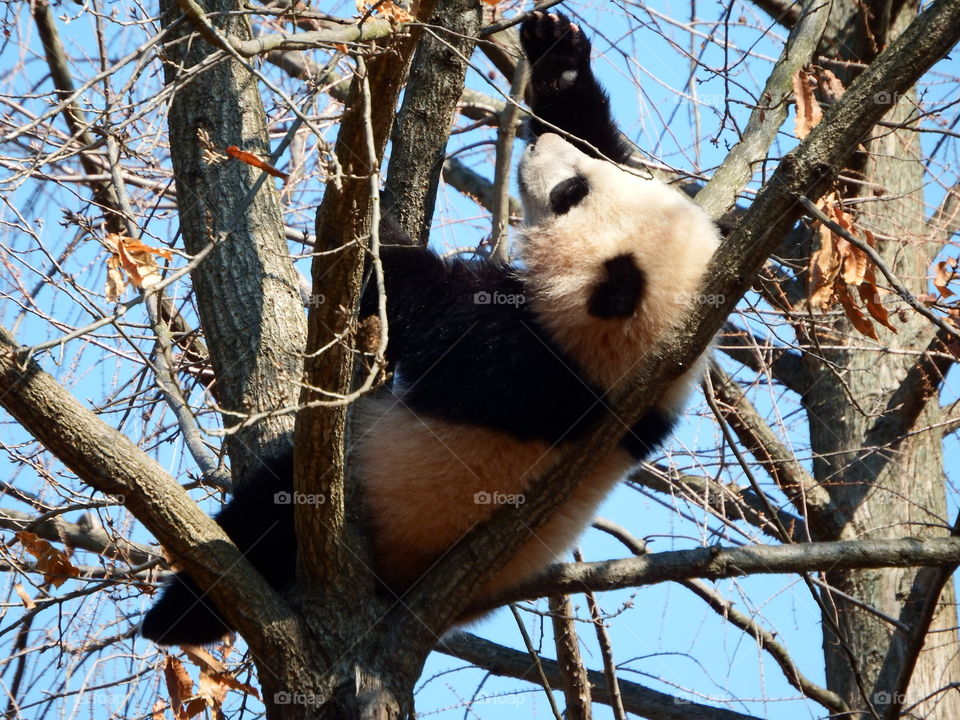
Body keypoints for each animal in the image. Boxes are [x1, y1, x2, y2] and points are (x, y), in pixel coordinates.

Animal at [140, 11, 719, 645]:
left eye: (573, 194)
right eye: (594, 176)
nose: (540, 145)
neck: (637, 362)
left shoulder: (527, 367)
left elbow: (424, 307)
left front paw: (365, 217)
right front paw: (559, 58)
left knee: (269, 511)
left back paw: (175, 615)